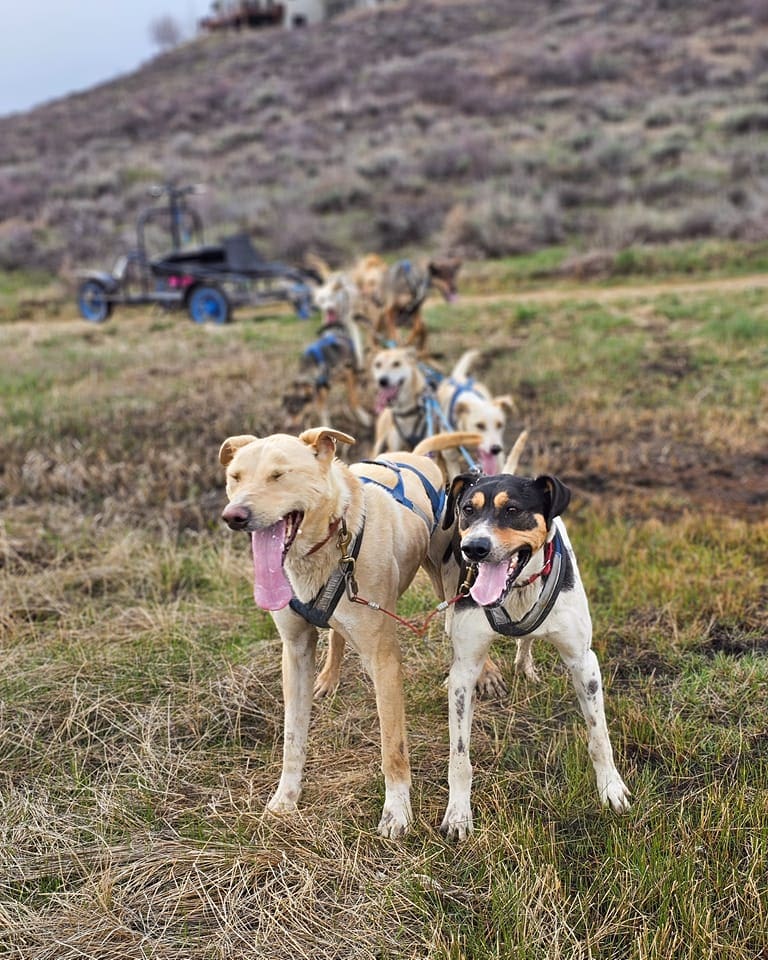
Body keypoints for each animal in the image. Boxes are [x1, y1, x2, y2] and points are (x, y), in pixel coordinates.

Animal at [216, 424, 480, 836]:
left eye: (279, 475)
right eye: (235, 477)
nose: (234, 516)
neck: (327, 545)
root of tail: (413, 454)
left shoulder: (385, 661)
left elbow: (393, 749)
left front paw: (397, 811)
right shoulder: (295, 651)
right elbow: (293, 737)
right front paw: (286, 797)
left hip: (446, 576)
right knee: (336, 633)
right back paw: (329, 676)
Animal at [426, 454, 632, 836]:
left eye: (513, 509)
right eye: (467, 509)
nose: (473, 548)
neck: (518, 589)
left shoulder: (584, 661)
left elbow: (599, 737)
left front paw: (611, 789)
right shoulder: (466, 668)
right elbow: (459, 754)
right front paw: (458, 812)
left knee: (528, 638)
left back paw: (525, 665)